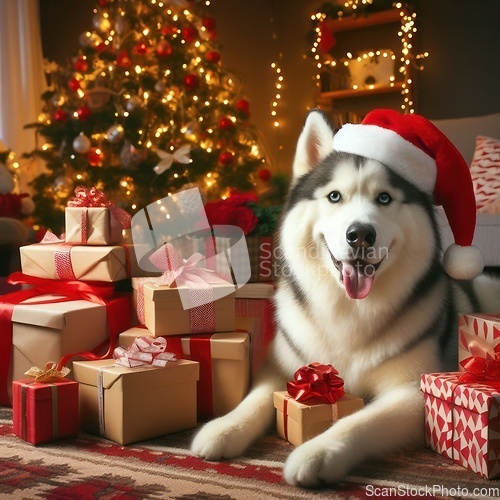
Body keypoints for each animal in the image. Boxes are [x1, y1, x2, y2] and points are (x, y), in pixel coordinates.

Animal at [191, 109, 500, 488]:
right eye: (335, 196)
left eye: (385, 198)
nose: (361, 234)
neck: (349, 310)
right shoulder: (281, 368)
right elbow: (256, 397)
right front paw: (222, 427)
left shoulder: (413, 392)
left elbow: (359, 420)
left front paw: (317, 451)